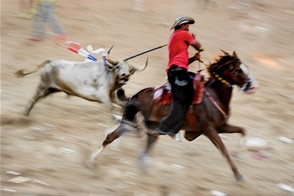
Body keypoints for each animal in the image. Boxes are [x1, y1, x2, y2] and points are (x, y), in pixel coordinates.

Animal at [15, 47, 148, 119]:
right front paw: (115, 118)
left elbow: (122, 104)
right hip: (43, 84)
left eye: (130, 69)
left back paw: (26, 113)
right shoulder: (102, 96)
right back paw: (24, 112)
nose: (125, 75)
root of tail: (51, 61)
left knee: (38, 98)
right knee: (34, 97)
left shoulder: (112, 96)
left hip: (51, 89)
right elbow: (110, 107)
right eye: (118, 67)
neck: (109, 75)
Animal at [87, 50, 258, 181]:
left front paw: (240, 153)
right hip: (131, 121)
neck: (214, 96)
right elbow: (224, 150)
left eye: (246, 68)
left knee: (139, 144)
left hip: (145, 126)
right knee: (112, 137)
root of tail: (136, 96)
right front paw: (238, 175)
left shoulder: (220, 126)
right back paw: (92, 161)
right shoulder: (209, 130)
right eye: (238, 70)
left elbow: (242, 130)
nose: (251, 86)